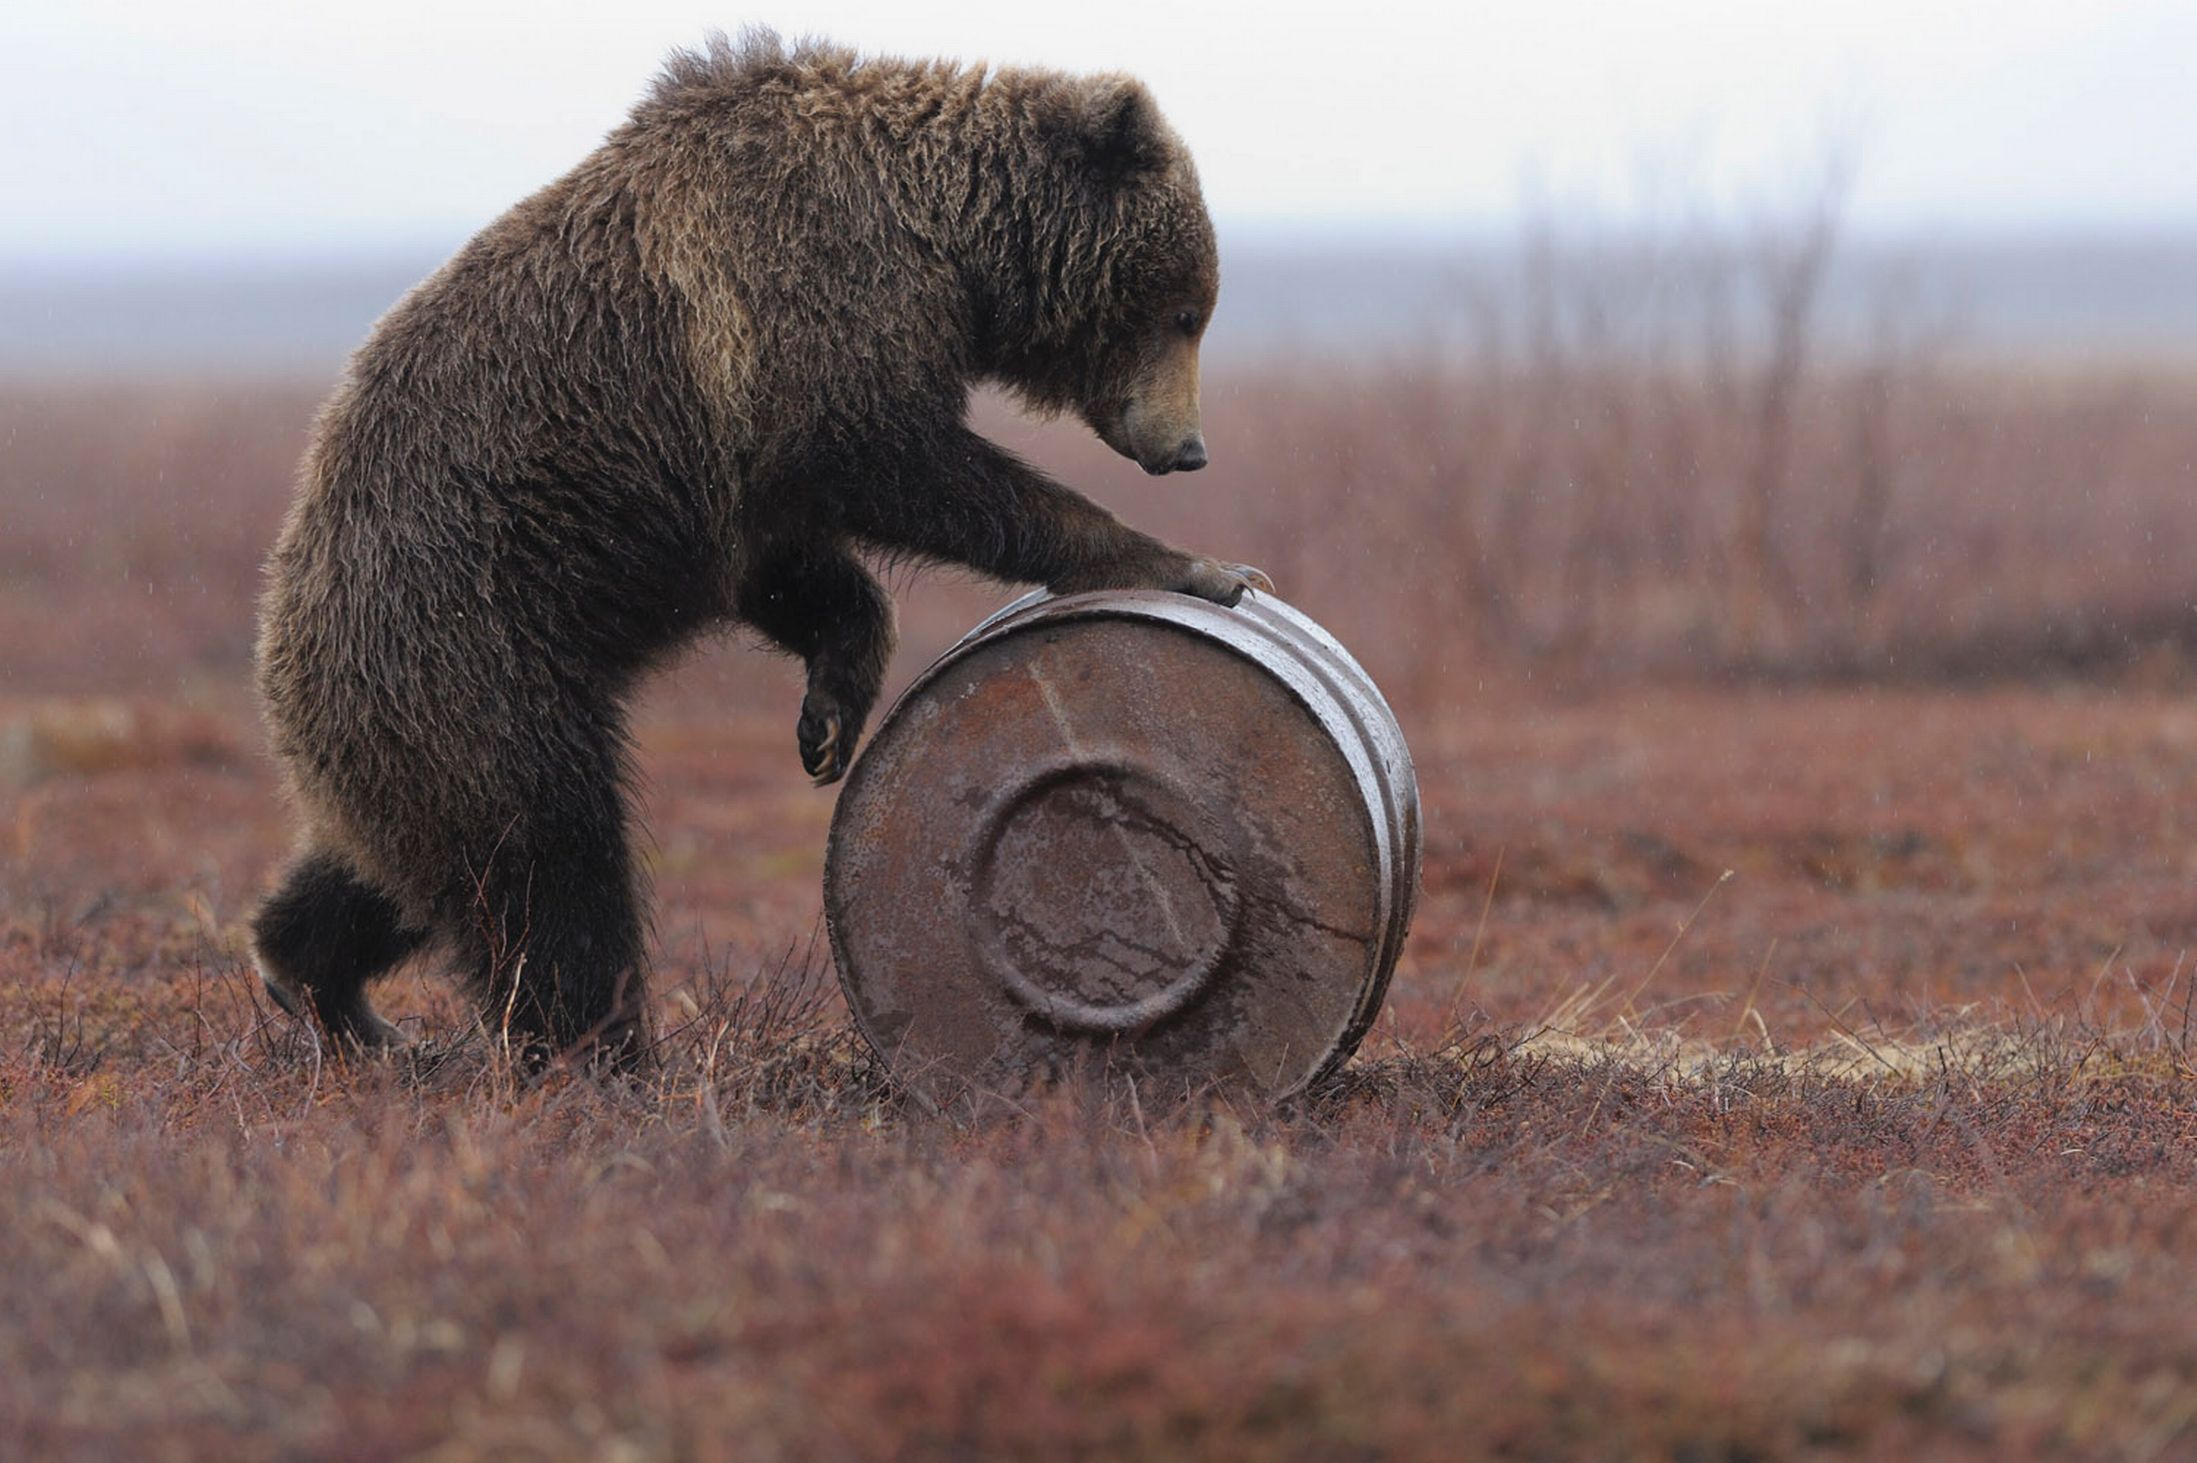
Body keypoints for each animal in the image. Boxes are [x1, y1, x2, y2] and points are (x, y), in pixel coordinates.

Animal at [247, 31, 1265, 1058]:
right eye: (1188, 309)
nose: (1188, 449)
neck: (941, 244)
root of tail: (281, 637)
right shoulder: (802, 303)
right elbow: (894, 457)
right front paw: (1192, 564)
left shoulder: (732, 481)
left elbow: (792, 571)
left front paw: (829, 717)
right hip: (471, 640)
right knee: (549, 861)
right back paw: (601, 1049)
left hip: (424, 710)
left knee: (397, 865)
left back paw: (328, 988)